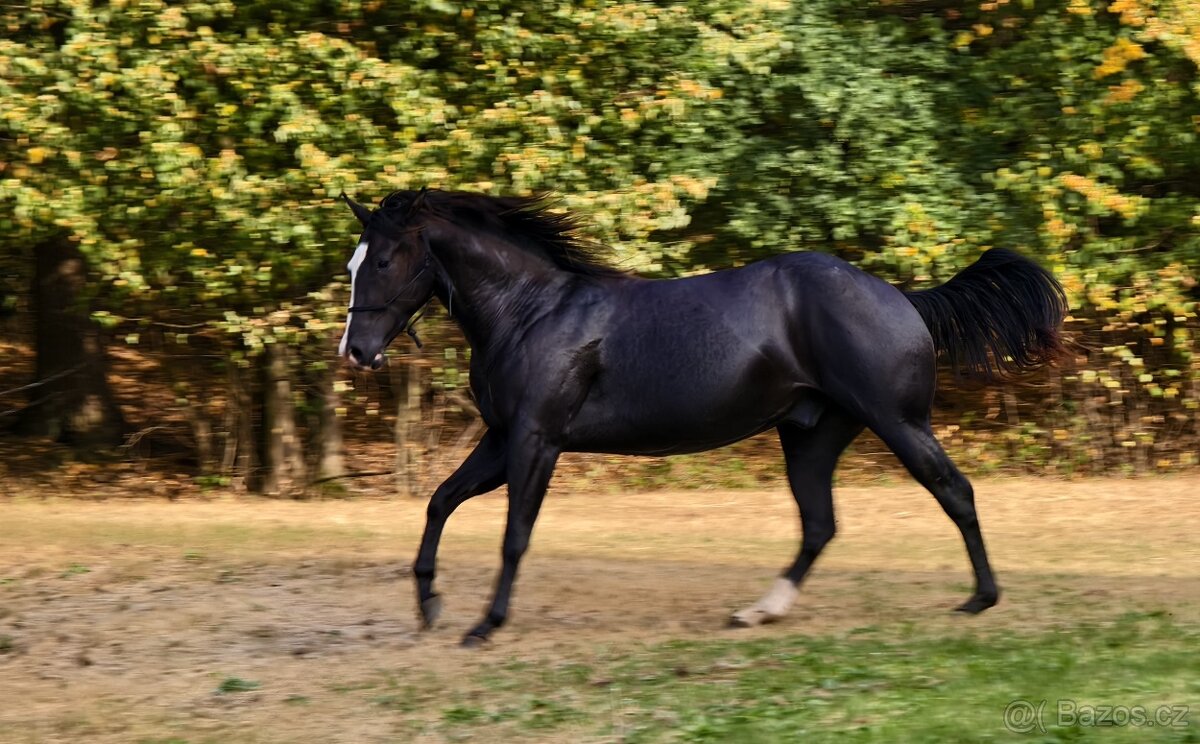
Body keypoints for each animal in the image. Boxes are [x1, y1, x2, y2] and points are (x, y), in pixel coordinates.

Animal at [336, 188, 1067, 646]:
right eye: (354, 261)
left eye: (384, 258)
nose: (357, 350)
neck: (530, 312)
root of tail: (903, 298)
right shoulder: (500, 441)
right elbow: (439, 501)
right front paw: (429, 605)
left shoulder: (536, 441)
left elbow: (513, 535)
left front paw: (483, 625)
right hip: (811, 435)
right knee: (820, 524)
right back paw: (758, 611)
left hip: (898, 421)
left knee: (954, 491)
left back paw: (981, 598)